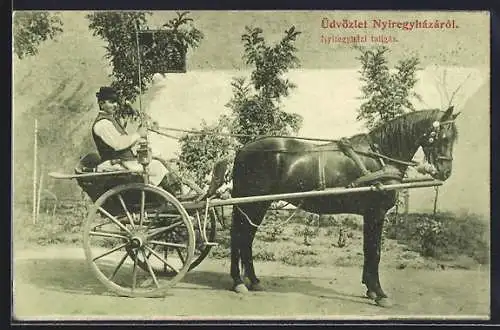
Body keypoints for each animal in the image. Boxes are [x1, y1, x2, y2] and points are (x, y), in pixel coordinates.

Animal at [229, 105, 458, 306]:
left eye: (454, 137)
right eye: (443, 137)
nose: (446, 172)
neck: (380, 158)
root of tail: (242, 149)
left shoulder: (370, 214)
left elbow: (368, 250)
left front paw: (370, 289)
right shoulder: (376, 213)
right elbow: (375, 252)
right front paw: (380, 294)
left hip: (255, 205)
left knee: (244, 238)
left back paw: (251, 281)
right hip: (254, 205)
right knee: (242, 237)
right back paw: (240, 281)